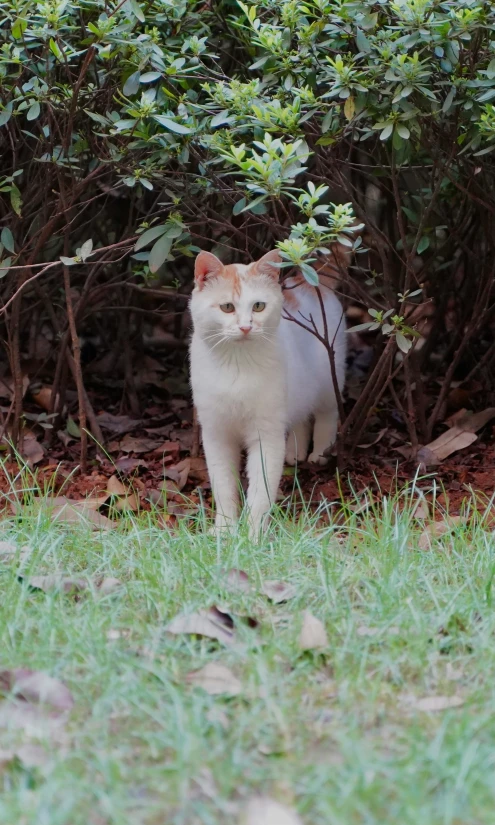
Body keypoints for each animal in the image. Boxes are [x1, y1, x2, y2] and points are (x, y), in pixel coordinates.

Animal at [190, 248, 348, 536]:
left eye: (258, 306)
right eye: (227, 307)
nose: (246, 327)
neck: (237, 365)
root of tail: (307, 281)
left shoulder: (266, 435)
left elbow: (261, 491)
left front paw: (253, 536)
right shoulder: (216, 434)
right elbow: (223, 486)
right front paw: (224, 530)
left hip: (329, 382)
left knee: (326, 415)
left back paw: (319, 453)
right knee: (299, 418)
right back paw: (295, 452)